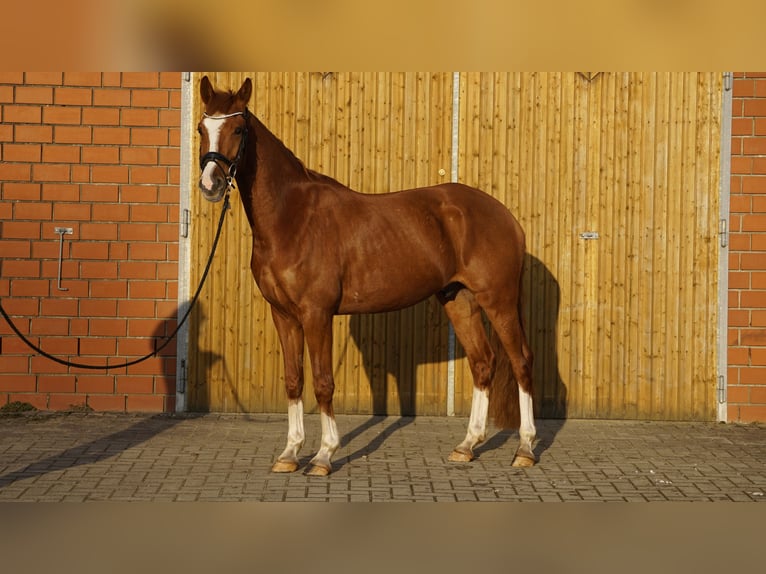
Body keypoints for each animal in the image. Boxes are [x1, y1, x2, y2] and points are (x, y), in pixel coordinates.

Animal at [197, 76, 537, 476]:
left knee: (520, 361)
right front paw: (290, 453)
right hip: (460, 300)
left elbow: (323, 382)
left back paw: (525, 449)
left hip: (499, 301)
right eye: (202, 128)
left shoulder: (317, 314)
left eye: (237, 129)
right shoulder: (282, 314)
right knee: (483, 363)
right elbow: (294, 380)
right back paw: (466, 446)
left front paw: (324, 455)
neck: (292, 218)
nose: (211, 185)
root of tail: (505, 216)